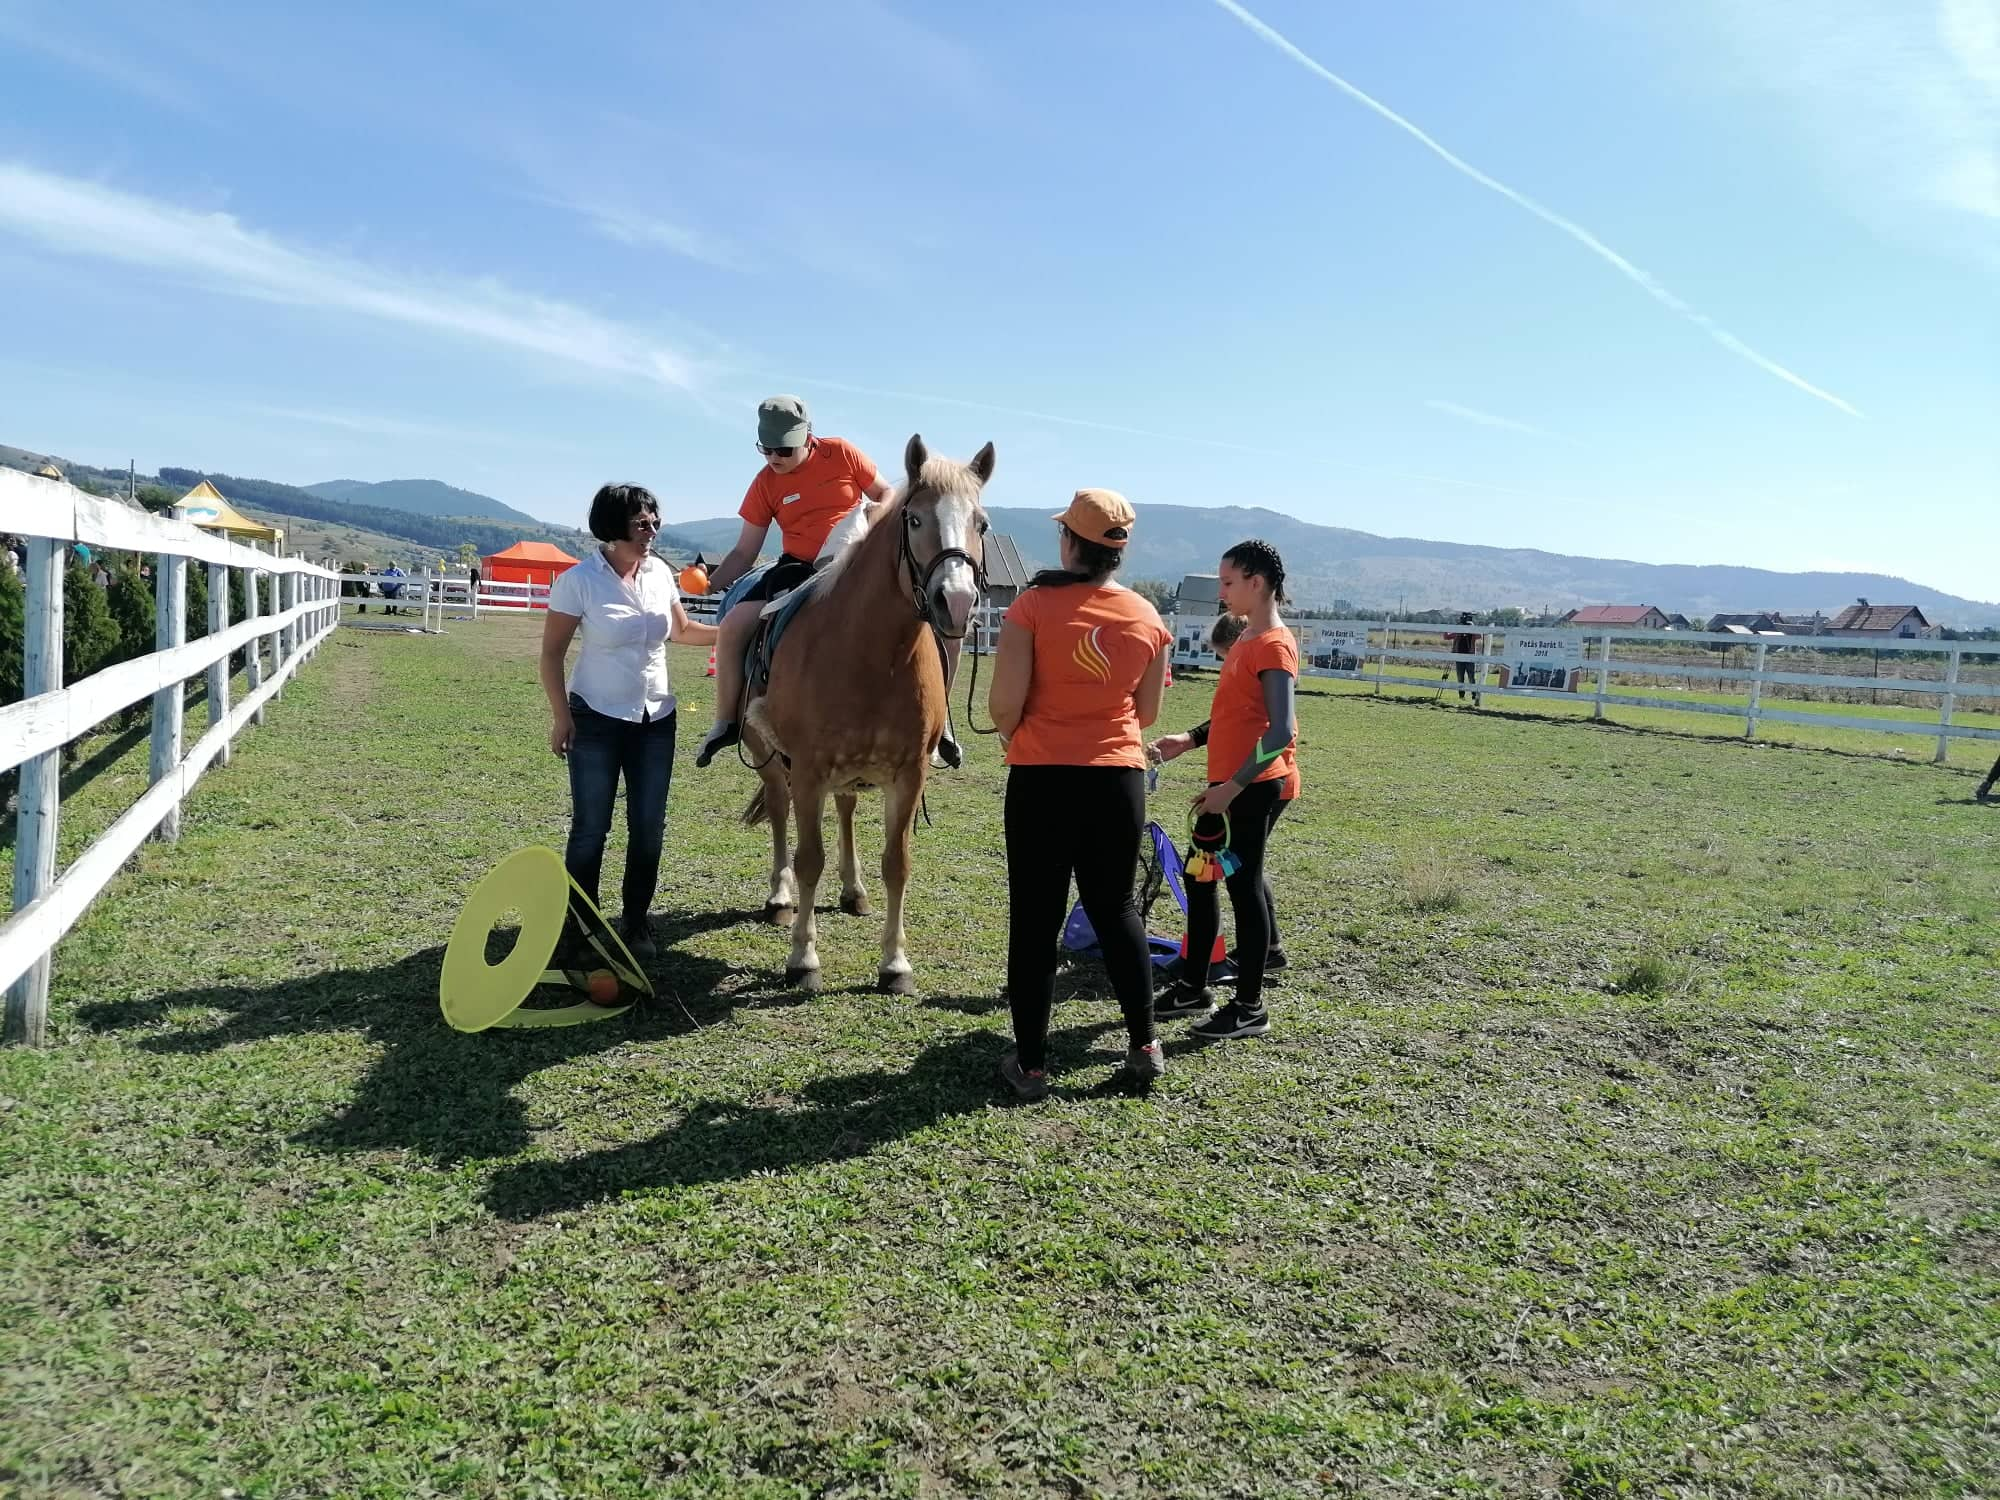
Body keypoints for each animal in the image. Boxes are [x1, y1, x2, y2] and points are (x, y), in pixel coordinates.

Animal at [740, 434, 988, 1000]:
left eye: (981, 523)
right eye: (914, 519)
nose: (957, 601)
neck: (873, 653)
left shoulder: (909, 773)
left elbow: (897, 864)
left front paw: (895, 965)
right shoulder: (809, 769)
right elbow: (809, 859)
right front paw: (803, 959)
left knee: (848, 809)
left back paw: (852, 891)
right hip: (770, 755)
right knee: (781, 811)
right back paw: (780, 897)